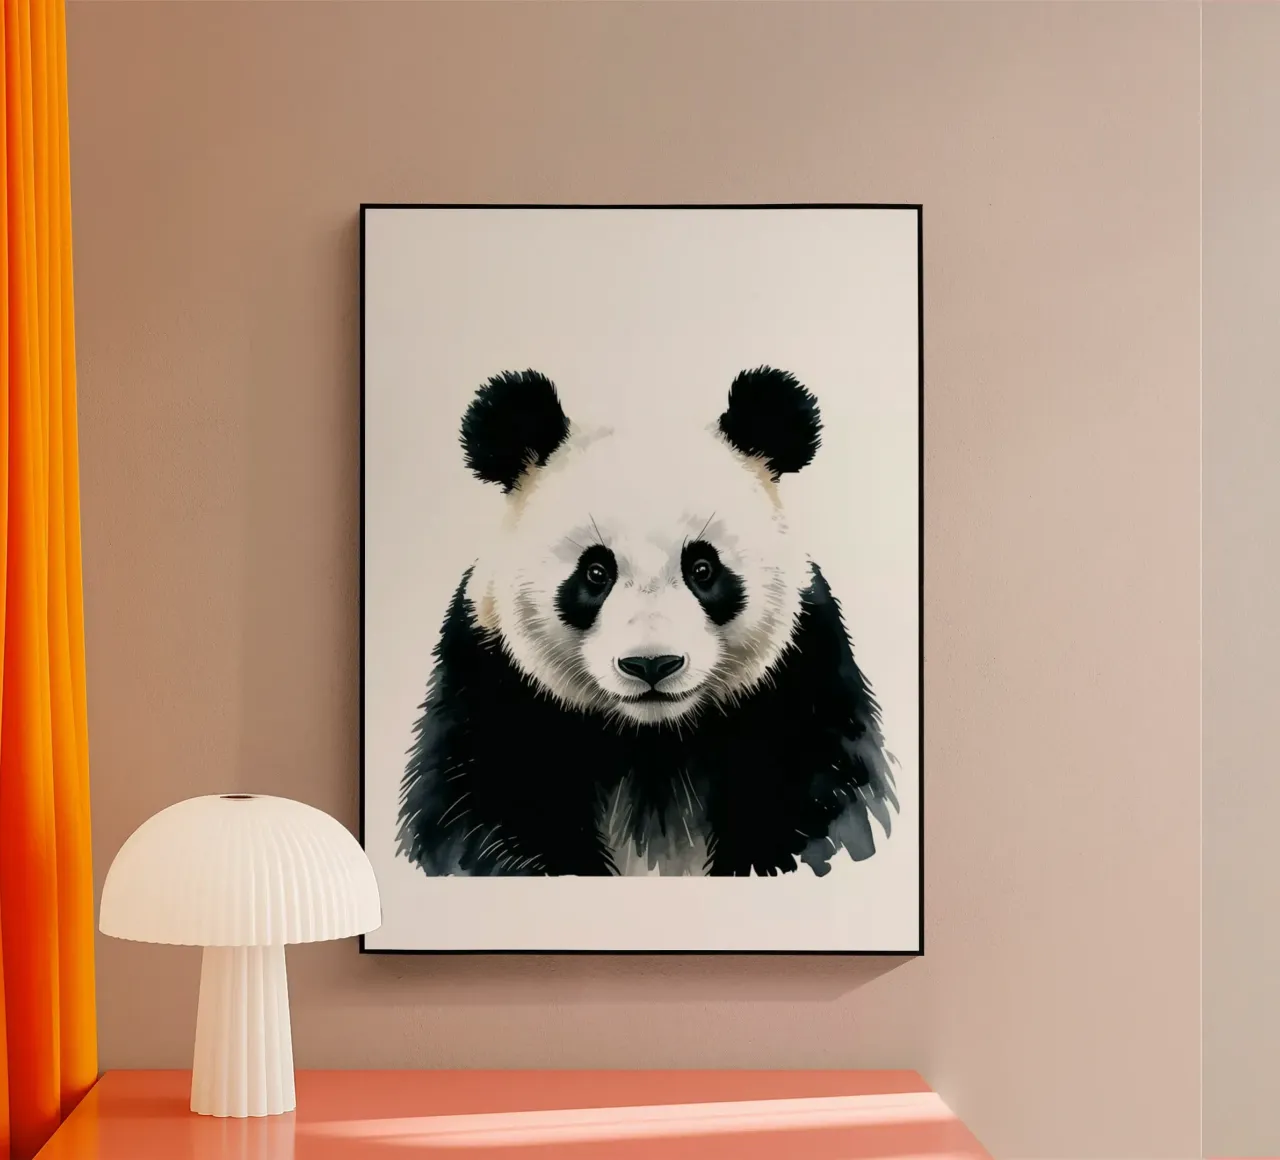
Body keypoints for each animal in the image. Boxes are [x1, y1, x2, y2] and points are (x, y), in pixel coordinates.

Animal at [395, 366, 898, 877]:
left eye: (703, 569)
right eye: (596, 572)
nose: (652, 665)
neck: (653, 741)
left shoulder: (802, 684)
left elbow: (817, 808)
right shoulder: (490, 691)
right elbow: (487, 820)